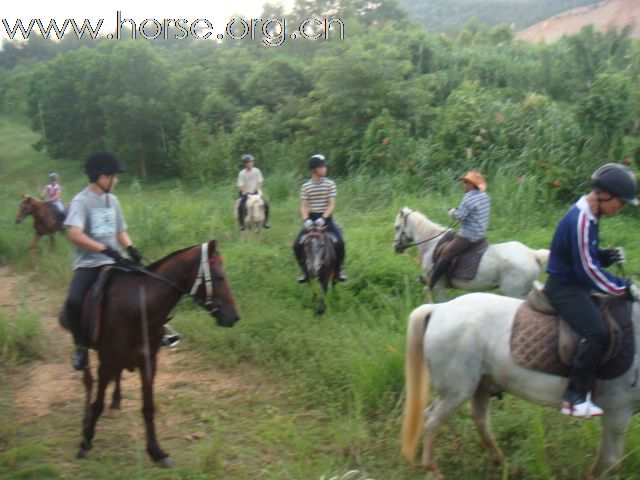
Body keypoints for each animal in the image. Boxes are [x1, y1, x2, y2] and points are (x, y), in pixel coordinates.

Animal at [74, 242, 240, 466]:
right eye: (219, 277)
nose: (234, 317)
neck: (138, 307)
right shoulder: (106, 361)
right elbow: (97, 403)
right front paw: (86, 442)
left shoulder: (149, 362)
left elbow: (148, 407)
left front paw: (156, 451)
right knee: (88, 382)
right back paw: (86, 419)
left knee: (115, 377)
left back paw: (115, 403)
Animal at [390, 207, 552, 300]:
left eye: (397, 227)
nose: (396, 247)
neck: (432, 244)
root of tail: (533, 254)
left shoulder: (439, 286)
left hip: (515, 293)